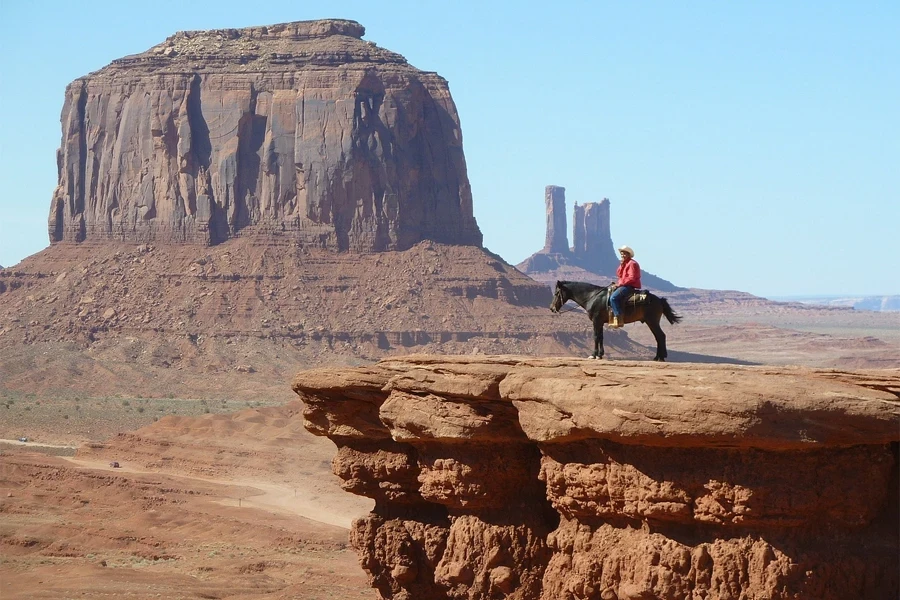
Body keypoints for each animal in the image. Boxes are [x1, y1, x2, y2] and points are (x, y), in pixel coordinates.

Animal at [548, 280, 684, 360]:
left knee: (660, 336)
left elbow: (596, 337)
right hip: (651, 322)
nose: (551, 308)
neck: (592, 297)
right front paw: (600, 354)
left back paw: (660, 357)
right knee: (659, 337)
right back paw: (657, 357)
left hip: (652, 321)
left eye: (556, 293)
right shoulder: (600, 322)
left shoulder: (596, 321)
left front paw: (594, 355)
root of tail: (660, 300)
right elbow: (601, 337)